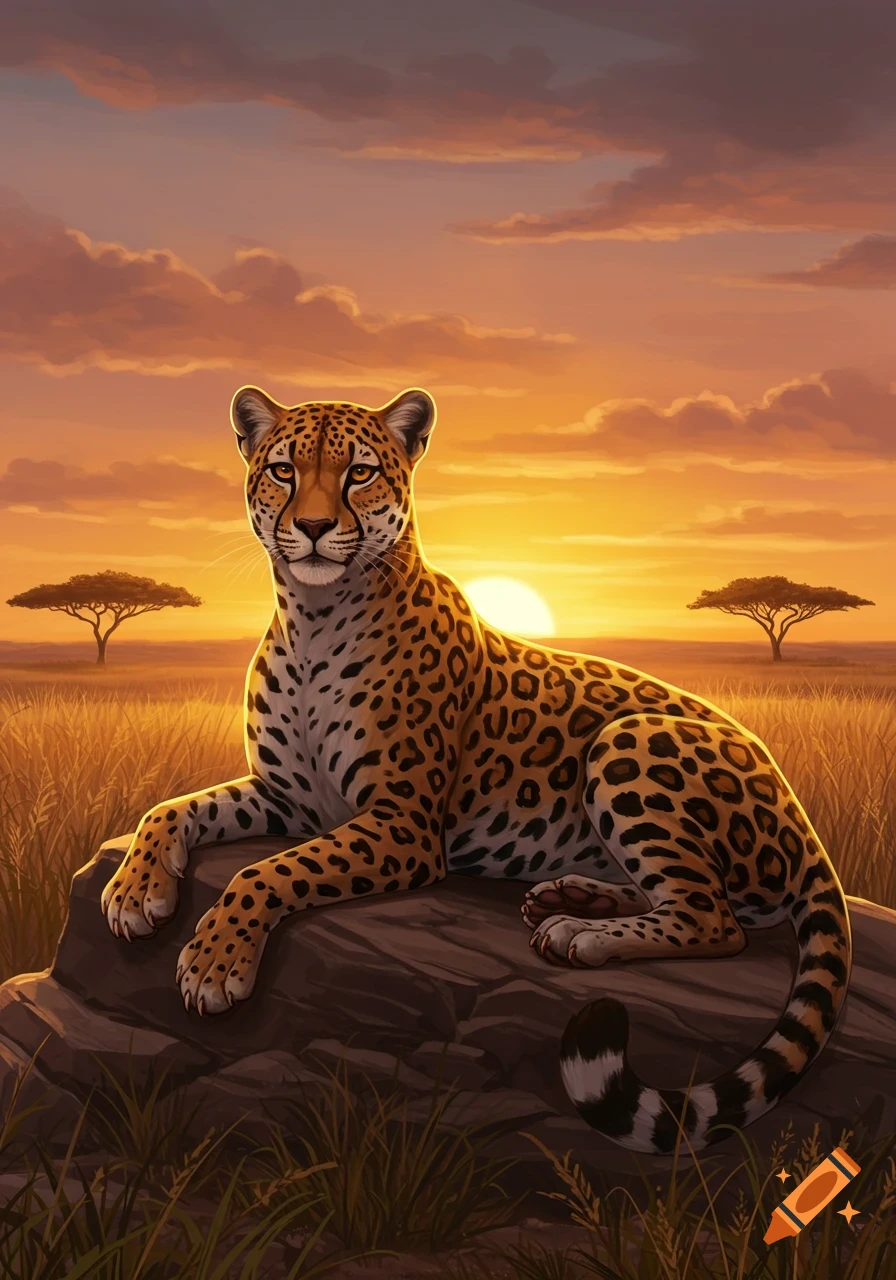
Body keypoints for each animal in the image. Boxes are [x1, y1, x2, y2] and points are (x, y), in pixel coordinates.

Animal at [102, 383, 852, 1154]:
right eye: (284, 470)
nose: (310, 526)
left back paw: (583, 935)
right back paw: (572, 899)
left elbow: (270, 871)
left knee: (716, 918)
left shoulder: (402, 825)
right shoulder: (289, 799)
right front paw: (134, 891)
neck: (312, 617)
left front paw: (215, 962)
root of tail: (801, 817)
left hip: (629, 739)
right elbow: (170, 808)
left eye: (359, 473)